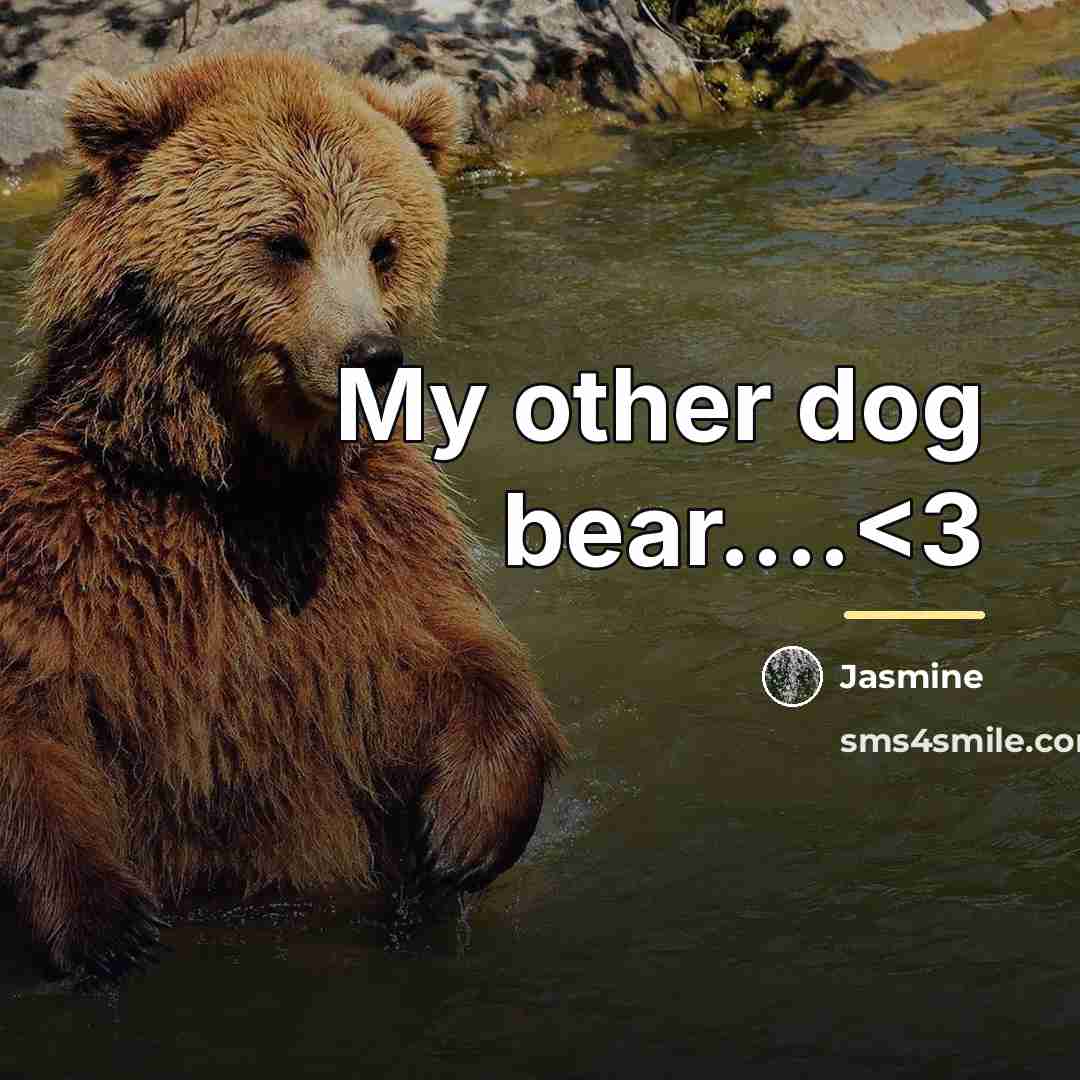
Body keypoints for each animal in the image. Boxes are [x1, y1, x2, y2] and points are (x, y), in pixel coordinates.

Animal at [0, 51, 566, 983]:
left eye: (385, 245)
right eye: (283, 242)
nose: (371, 355)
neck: (235, 481)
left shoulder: (376, 535)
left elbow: (453, 654)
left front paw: (461, 832)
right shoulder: (66, 541)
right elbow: (30, 707)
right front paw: (102, 927)